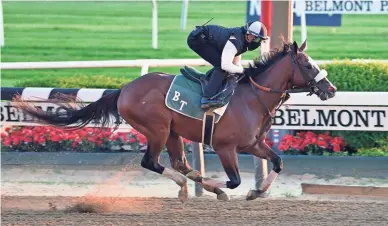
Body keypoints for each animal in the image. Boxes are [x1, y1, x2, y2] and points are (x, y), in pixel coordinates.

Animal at [13, 40, 336, 203]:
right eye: (308, 65)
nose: (330, 89)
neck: (253, 97)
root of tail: (124, 89)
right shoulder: (225, 147)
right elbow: (234, 180)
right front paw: (217, 186)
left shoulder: (253, 144)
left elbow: (277, 162)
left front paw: (256, 192)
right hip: (156, 129)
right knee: (152, 162)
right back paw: (190, 186)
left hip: (172, 131)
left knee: (178, 163)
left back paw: (190, 186)